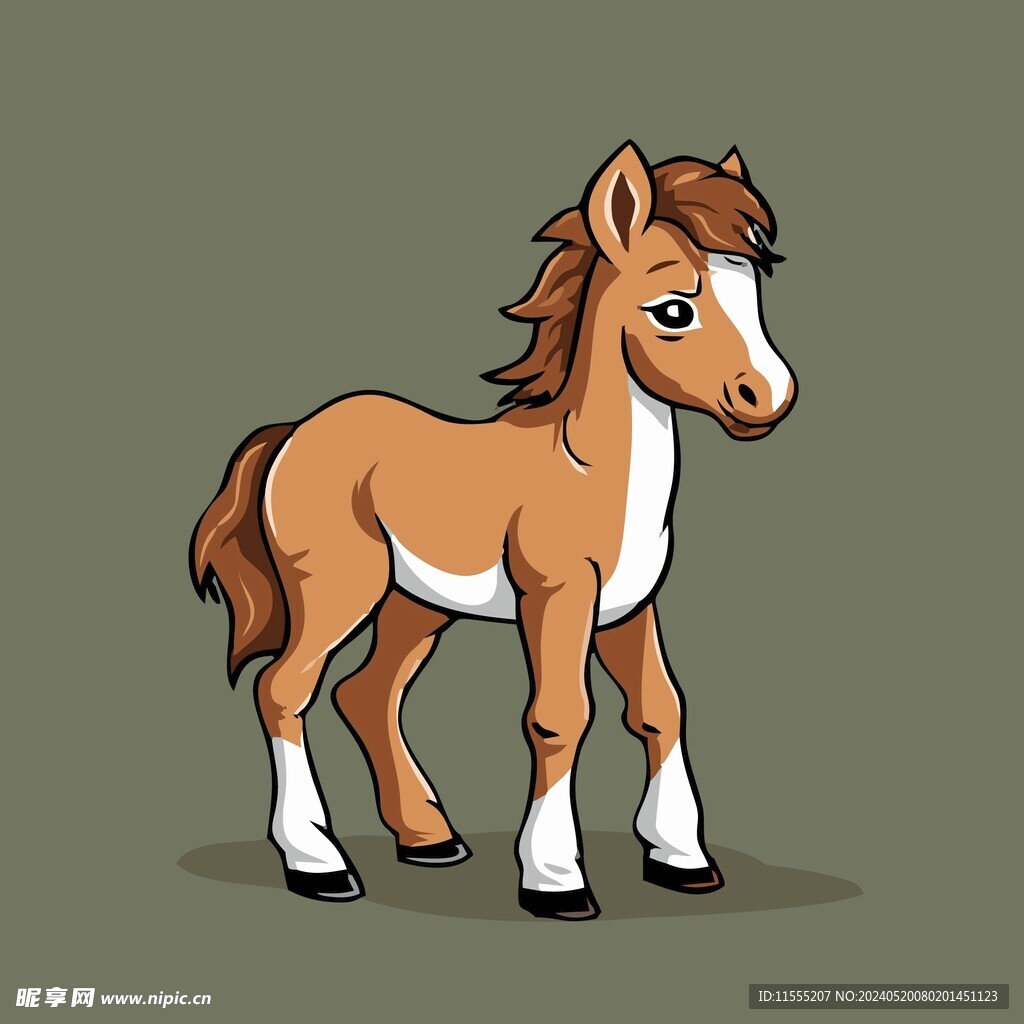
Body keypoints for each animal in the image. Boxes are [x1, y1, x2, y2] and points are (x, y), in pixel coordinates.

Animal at [189, 141, 797, 920]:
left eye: (752, 293)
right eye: (674, 309)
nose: (768, 396)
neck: (589, 471)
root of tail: (294, 432)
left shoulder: (629, 608)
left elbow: (661, 708)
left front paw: (682, 858)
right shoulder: (557, 598)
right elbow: (560, 716)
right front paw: (555, 880)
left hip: (415, 602)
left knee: (367, 692)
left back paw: (429, 840)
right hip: (337, 592)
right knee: (283, 690)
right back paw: (319, 865)